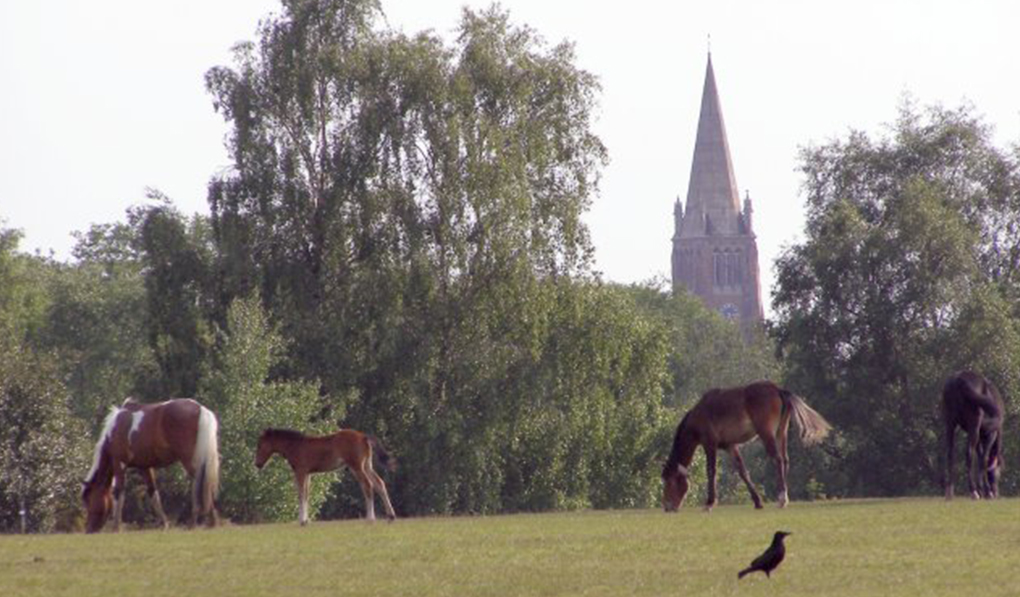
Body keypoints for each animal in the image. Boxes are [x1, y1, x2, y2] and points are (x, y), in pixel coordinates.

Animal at [81, 398, 219, 534]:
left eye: (89, 500)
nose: (88, 530)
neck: (115, 430)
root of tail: (200, 409)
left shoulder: (119, 463)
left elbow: (118, 492)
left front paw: (116, 527)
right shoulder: (145, 467)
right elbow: (153, 492)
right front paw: (164, 524)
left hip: (188, 460)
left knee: (199, 482)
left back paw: (194, 522)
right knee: (205, 483)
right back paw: (211, 522)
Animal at [255, 426, 397, 522]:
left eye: (260, 445)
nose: (257, 464)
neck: (295, 445)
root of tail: (363, 436)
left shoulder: (300, 471)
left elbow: (301, 494)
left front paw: (301, 520)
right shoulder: (308, 473)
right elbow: (306, 494)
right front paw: (306, 520)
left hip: (356, 466)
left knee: (367, 485)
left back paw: (370, 518)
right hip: (367, 465)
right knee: (380, 483)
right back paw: (391, 516)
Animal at [660, 381, 828, 512]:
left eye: (669, 482)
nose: (667, 507)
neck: (698, 415)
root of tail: (777, 389)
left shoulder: (709, 444)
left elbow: (711, 471)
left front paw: (709, 503)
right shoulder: (731, 446)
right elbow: (742, 471)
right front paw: (757, 501)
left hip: (766, 434)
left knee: (778, 459)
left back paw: (781, 497)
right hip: (781, 432)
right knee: (785, 460)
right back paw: (784, 494)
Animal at [938, 369, 1003, 500]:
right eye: (999, 471)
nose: (996, 492)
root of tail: (958, 380)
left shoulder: (978, 436)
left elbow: (980, 457)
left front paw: (982, 489)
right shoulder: (990, 435)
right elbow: (984, 459)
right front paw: (986, 491)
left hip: (950, 424)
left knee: (950, 454)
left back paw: (950, 492)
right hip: (973, 425)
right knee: (968, 454)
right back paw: (973, 491)